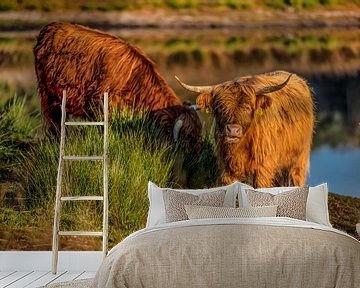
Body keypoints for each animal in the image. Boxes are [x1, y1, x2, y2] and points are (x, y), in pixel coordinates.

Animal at [33, 22, 202, 152]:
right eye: (188, 139)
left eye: (199, 137)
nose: (196, 157)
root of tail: (50, 26)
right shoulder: (101, 106)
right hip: (47, 92)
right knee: (54, 120)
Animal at [176, 71, 314, 188]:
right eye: (220, 106)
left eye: (247, 108)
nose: (233, 130)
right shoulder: (227, 167)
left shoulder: (264, 167)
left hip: (299, 160)